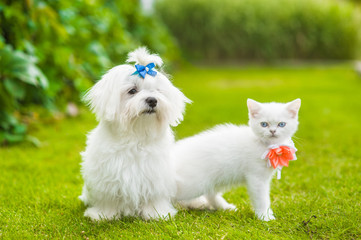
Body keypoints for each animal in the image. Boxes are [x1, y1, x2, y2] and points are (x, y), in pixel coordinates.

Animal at [79, 47, 190, 221]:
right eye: (132, 91)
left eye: (157, 91)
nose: (152, 100)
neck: (137, 136)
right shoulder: (107, 175)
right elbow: (107, 197)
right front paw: (103, 214)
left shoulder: (155, 175)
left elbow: (154, 196)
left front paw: (156, 213)